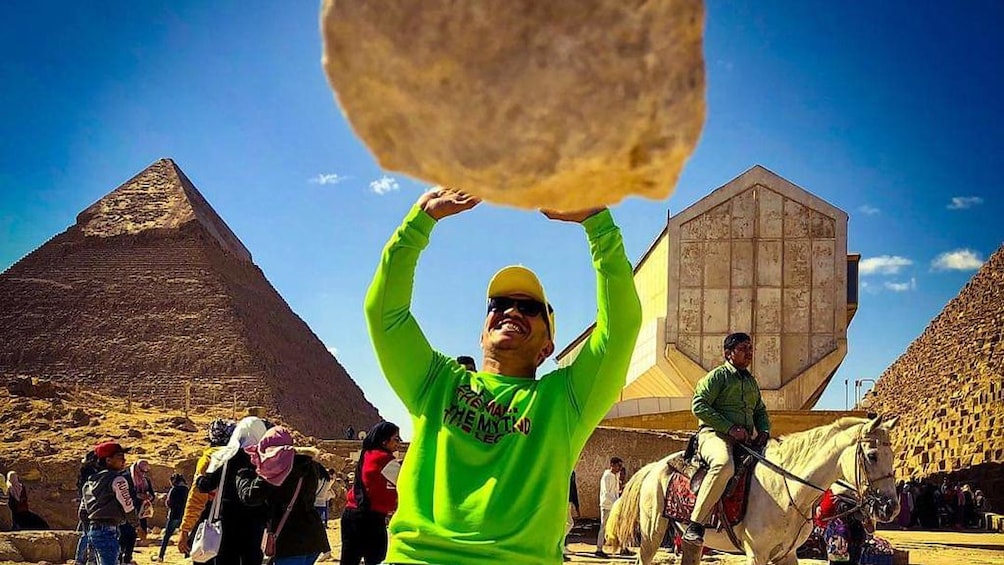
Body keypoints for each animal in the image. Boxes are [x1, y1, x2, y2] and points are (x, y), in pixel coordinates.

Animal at [606, 415, 899, 565]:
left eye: (893, 455)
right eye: (872, 455)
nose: (890, 507)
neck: (787, 492)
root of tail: (654, 467)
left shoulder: (787, 555)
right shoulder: (756, 554)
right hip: (652, 533)